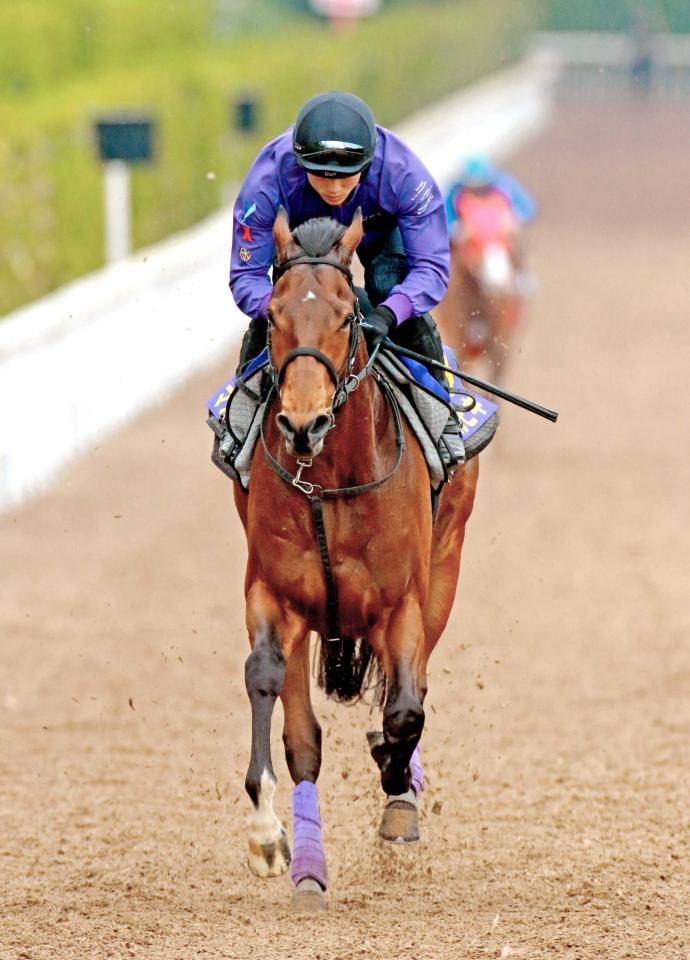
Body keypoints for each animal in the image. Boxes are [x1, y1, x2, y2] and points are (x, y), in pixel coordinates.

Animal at [232, 206, 478, 912]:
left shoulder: (403, 603)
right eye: (274, 314)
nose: (302, 424)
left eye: (347, 317)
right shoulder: (274, 595)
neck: (330, 481)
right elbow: (273, 695)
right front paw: (269, 839)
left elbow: (404, 712)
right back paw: (307, 865)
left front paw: (397, 788)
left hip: (446, 569)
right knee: (304, 736)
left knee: (412, 687)